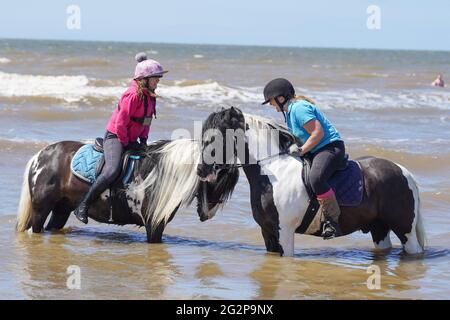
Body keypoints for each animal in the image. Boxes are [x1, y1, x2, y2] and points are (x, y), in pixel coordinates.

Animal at [17, 139, 236, 241]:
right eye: (216, 178)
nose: (208, 214)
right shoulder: (153, 225)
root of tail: (39, 156)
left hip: (61, 210)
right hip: (40, 209)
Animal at [196, 107, 426, 258]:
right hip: (379, 228)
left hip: (404, 228)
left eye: (216, 137)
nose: (201, 170)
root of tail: (403, 171)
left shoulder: (285, 232)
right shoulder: (268, 232)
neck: (273, 170)